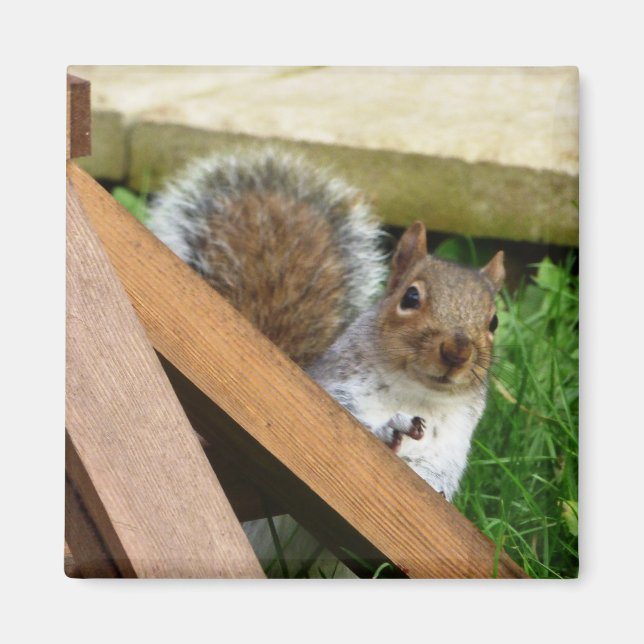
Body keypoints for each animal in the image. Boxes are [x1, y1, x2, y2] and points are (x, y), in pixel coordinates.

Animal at [147, 148, 505, 503]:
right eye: (410, 297)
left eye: (494, 321)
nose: (457, 352)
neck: (417, 395)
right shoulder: (335, 399)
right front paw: (390, 429)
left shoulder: (448, 451)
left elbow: (434, 483)